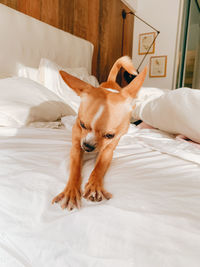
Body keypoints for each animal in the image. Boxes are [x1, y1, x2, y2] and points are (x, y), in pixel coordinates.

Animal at [52, 56, 147, 211]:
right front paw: (71, 190)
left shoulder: (108, 150)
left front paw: (95, 185)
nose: (87, 146)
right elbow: (75, 168)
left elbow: (100, 166)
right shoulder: (76, 146)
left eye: (109, 135)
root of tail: (111, 82)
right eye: (82, 124)